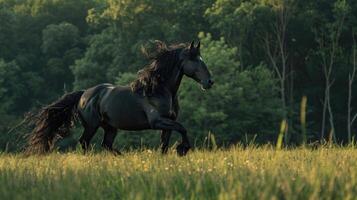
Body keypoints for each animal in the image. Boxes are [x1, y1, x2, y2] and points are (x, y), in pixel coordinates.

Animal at [27, 41, 213, 156]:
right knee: (84, 142)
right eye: (195, 60)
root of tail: (84, 94)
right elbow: (182, 128)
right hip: (92, 125)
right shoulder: (157, 121)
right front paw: (183, 149)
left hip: (110, 128)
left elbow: (165, 145)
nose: (210, 82)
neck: (159, 90)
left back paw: (120, 157)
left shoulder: (167, 123)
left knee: (106, 145)